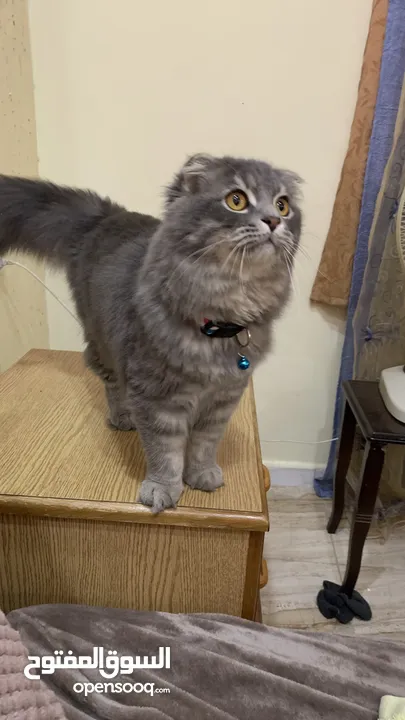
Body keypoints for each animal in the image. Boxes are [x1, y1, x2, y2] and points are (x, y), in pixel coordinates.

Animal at [0, 155, 302, 512]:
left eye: (283, 205)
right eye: (236, 200)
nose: (273, 220)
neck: (221, 318)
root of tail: (107, 215)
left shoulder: (223, 398)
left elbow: (204, 443)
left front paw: (201, 474)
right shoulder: (157, 395)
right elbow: (165, 451)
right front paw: (163, 489)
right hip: (104, 346)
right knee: (111, 383)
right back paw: (123, 416)